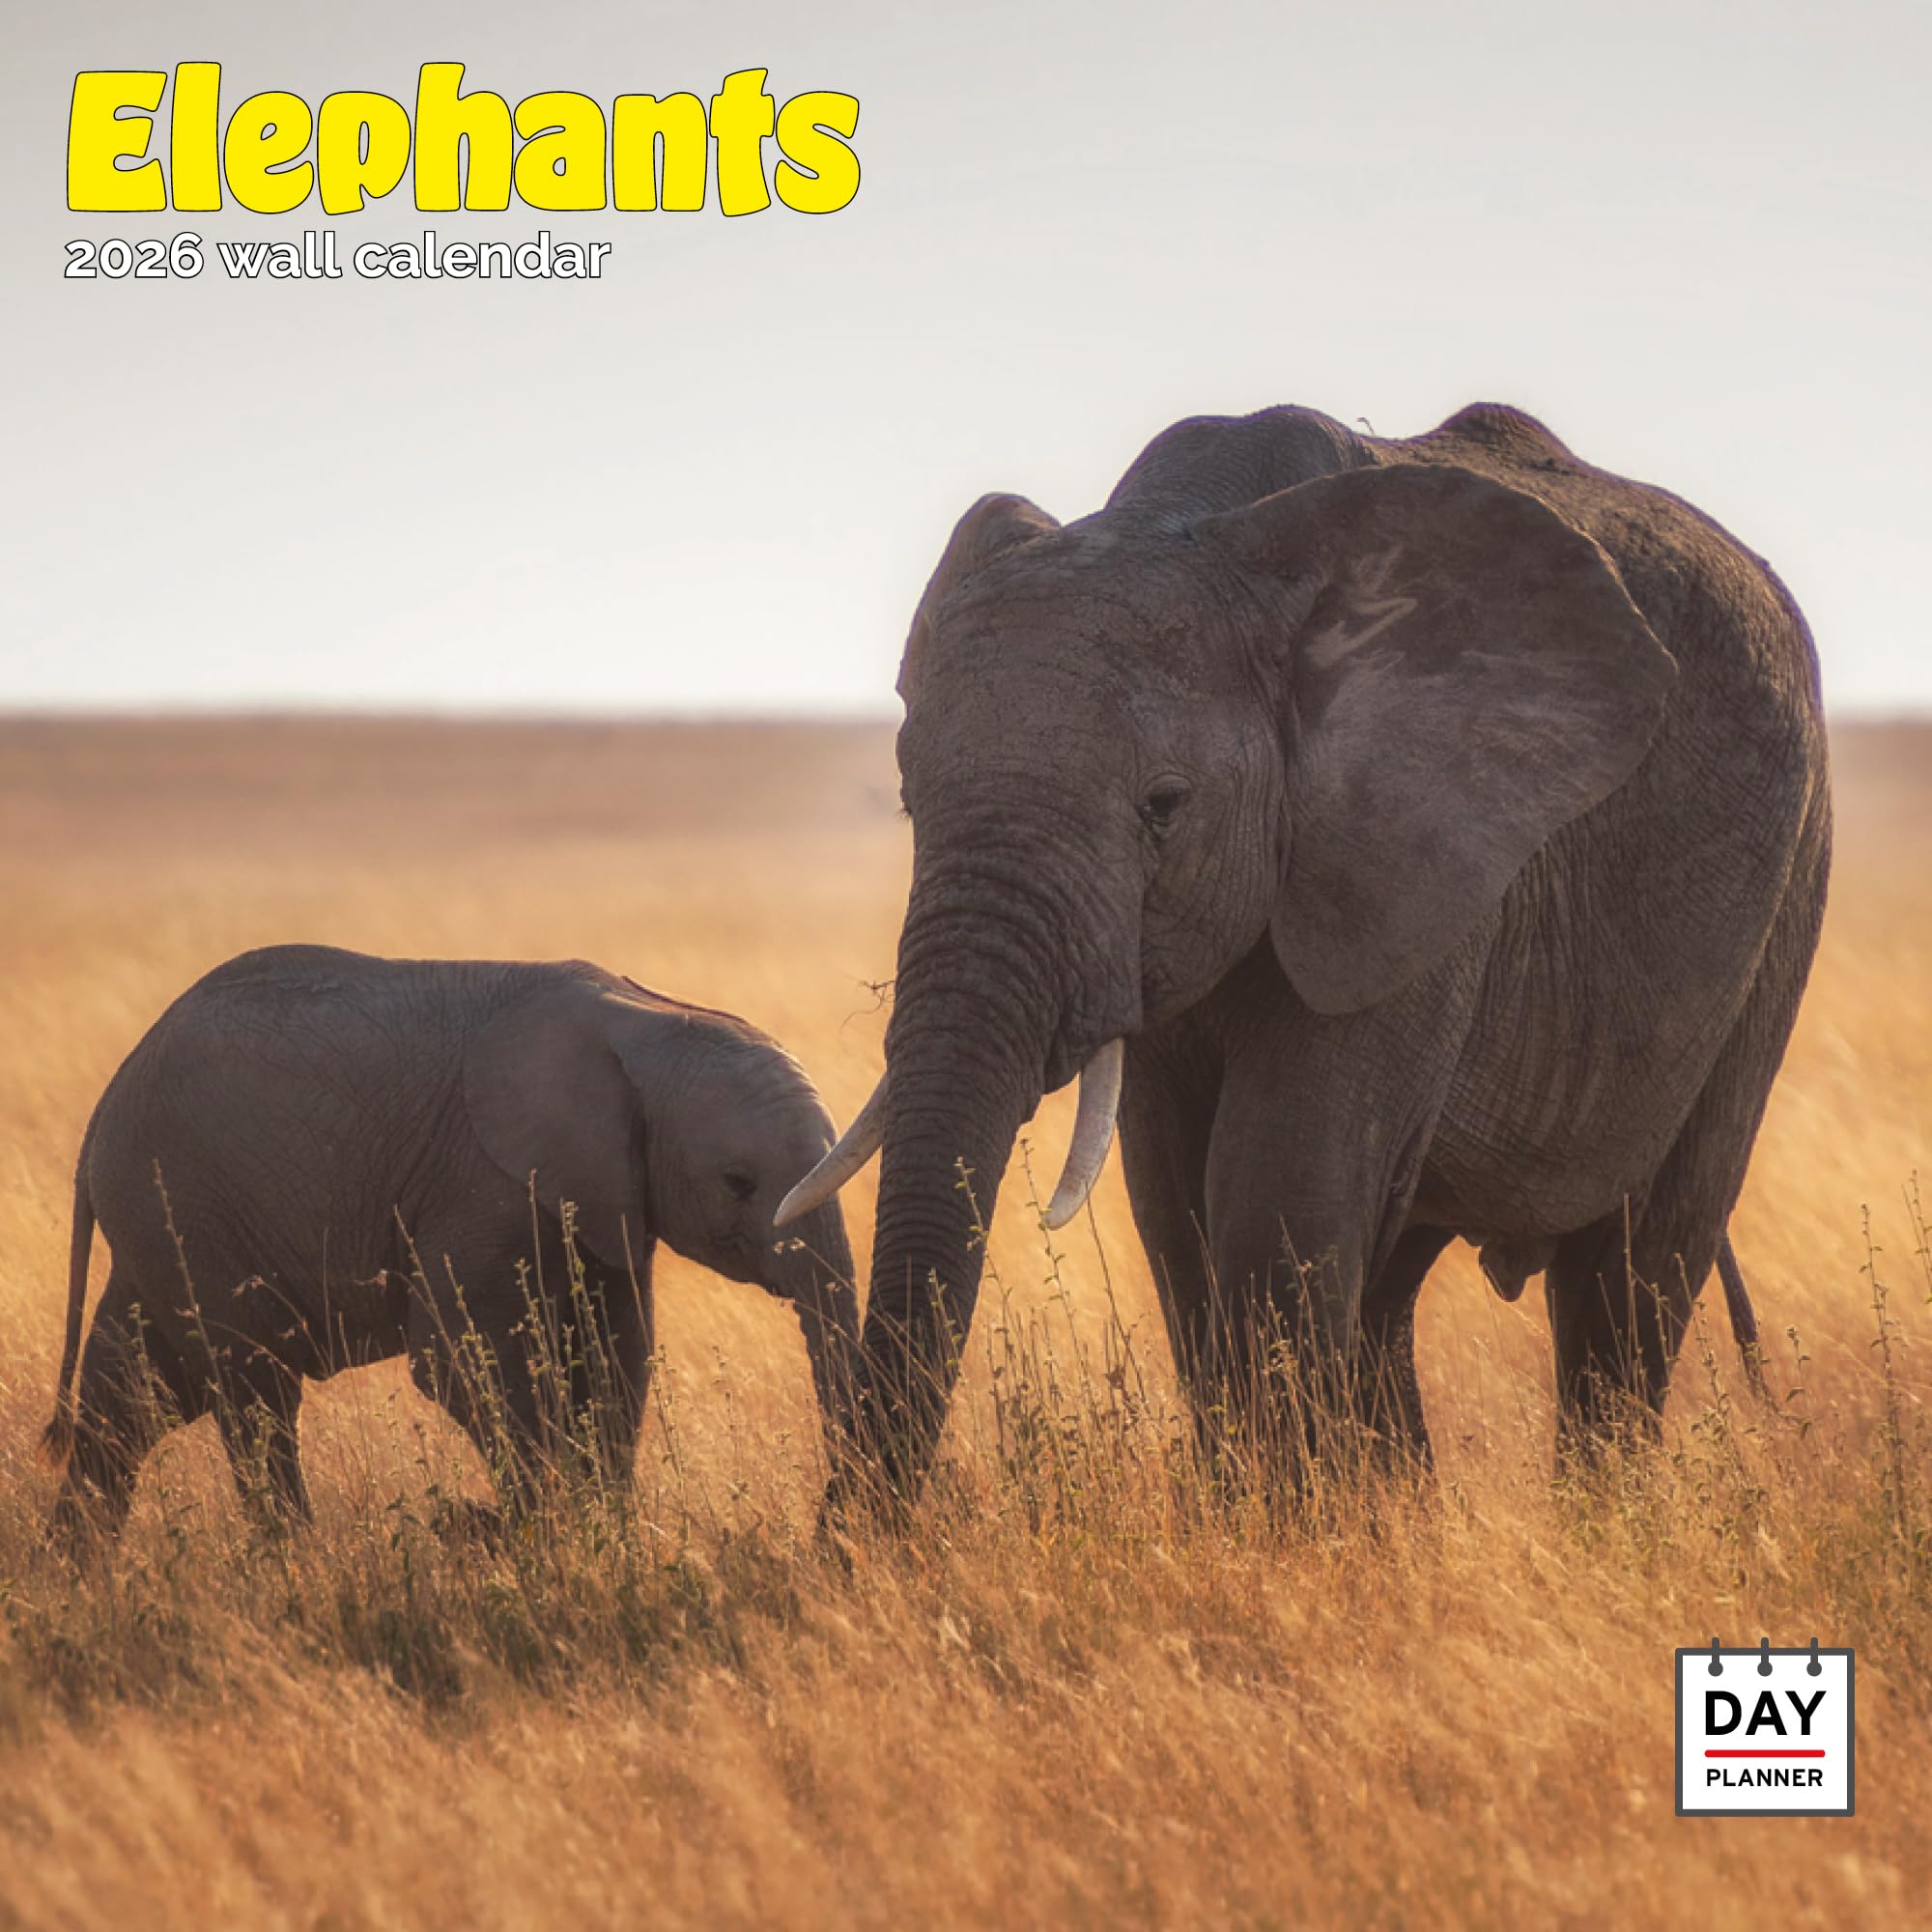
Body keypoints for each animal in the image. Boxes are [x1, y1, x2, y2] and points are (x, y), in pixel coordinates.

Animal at [41, 945, 859, 1539]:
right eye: (738, 1182)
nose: (831, 1527)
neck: (649, 1018)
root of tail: (101, 1112)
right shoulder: (481, 1181)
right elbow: (463, 1362)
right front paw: (542, 1539)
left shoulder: (604, 1198)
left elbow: (614, 1358)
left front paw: (603, 1538)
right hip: (185, 1208)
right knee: (254, 1392)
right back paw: (298, 1568)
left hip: (162, 1223)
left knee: (130, 1398)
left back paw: (79, 1578)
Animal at [781, 400, 1829, 1508]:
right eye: (909, 800)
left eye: (1163, 806)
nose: (849, 1545)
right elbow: (1177, 1209)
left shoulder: (1418, 854)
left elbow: (1276, 1195)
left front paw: (1286, 1530)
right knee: (1392, 1286)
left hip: (1785, 893)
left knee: (1633, 1272)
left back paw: (1600, 1519)